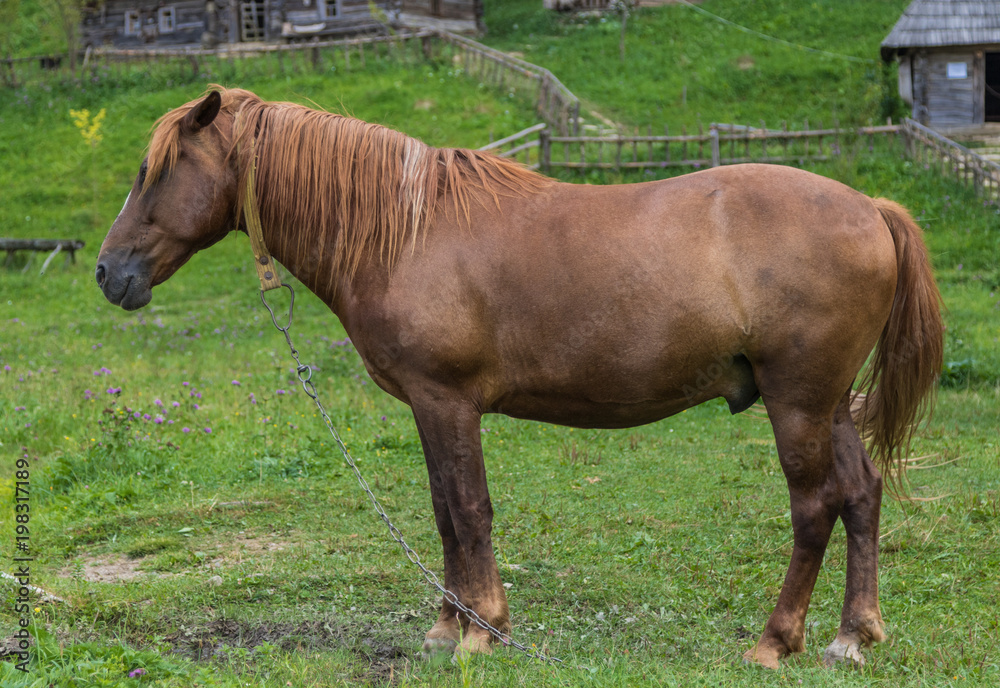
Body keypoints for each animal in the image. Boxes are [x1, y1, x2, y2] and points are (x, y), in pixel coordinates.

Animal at [95, 88, 943, 669]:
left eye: (157, 170)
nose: (109, 273)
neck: (407, 230)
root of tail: (869, 207)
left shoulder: (447, 402)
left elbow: (469, 509)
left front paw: (484, 629)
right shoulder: (427, 409)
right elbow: (443, 510)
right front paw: (446, 627)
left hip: (796, 402)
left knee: (815, 506)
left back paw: (775, 640)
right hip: (828, 403)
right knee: (860, 494)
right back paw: (852, 635)